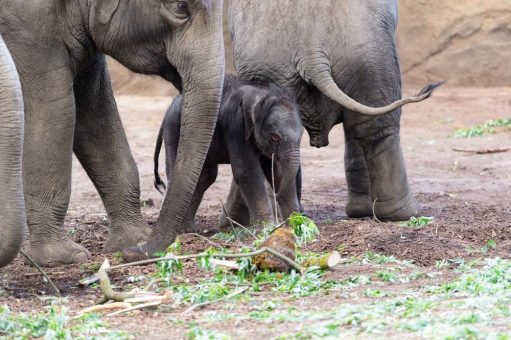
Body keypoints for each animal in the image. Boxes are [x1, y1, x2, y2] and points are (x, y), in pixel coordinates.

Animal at [0, 0, 226, 266]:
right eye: (181, 6)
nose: (132, 254)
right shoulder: (26, 27)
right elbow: (55, 109)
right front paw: (62, 257)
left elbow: (95, 110)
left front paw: (132, 240)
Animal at [153, 74, 304, 228]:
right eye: (274, 137)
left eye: (301, 135)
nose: (277, 196)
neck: (262, 93)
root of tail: (170, 105)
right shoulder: (236, 128)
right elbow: (247, 172)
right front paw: (267, 228)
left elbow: (277, 172)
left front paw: (297, 225)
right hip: (175, 131)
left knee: (204, 176)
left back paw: (187, 228)